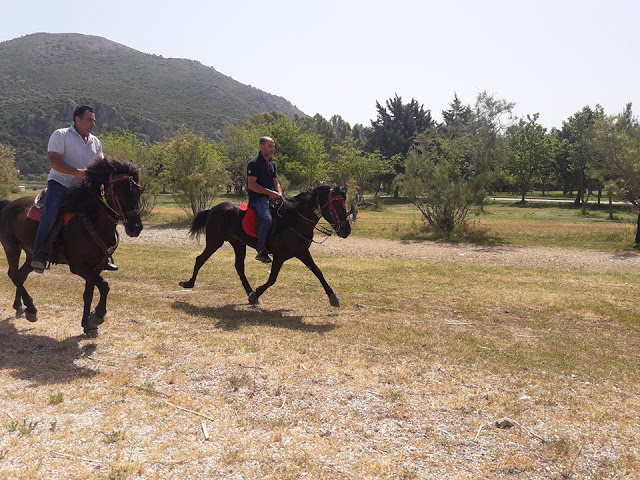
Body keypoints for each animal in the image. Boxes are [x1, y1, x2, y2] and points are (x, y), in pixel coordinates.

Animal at [0, 158, 144, 338]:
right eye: (118, 191)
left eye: (138, 193)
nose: (135, 227)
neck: (91, 220)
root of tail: (8, 205)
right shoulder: (79, 266)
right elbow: (104, 286)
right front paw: (97, 316)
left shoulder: (96, 266)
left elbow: (89, 293)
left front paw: (87, 324)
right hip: (11, 247)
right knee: (14, 275)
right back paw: (31, 309)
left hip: (30, 253)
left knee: (21, 275)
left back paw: (20, 307)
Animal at [179, 186, 350, 306]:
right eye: (336, 205)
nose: (346, 230)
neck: (294, 220)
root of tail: (213, 209)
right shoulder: (280, 256)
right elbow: (272, 278)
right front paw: (257, 293)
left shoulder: (302, 252)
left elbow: (318, 272)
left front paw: (332, 296)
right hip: (214, 242)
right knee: (200, 259)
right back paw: (188, 283)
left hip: (238, 244)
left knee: (239, 267)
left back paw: (249, 292)